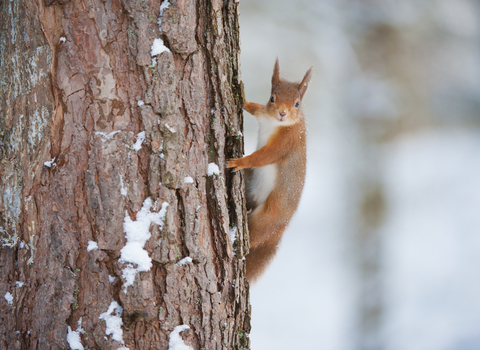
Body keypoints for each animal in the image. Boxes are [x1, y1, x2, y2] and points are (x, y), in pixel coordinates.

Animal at [228, 58, 314, 282]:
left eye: (297, 104)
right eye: (272, 98)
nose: (282, 113)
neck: (275, 123)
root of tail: (280, 230)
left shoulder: (287, 141)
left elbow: (265, 156)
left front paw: (241, 161)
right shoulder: (263, 114)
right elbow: (255, 108)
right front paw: (242, 99)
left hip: (265, 219)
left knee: (253, 239)